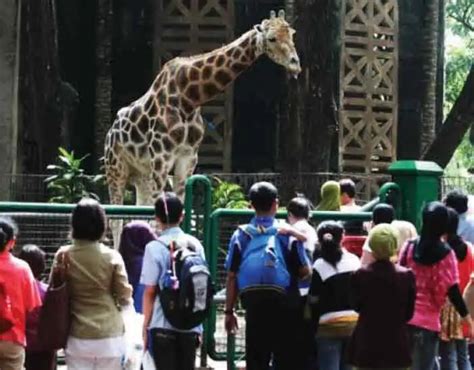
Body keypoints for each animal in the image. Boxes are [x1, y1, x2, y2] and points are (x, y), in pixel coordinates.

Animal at [105, 8, 302, 211]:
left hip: (141, 174)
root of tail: (110, 131)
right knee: (115, 209)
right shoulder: (161, 158)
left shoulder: (188, 158)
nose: (295, 64)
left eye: (292, 33)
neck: (189, 98)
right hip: (116, 169)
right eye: (272, 38)